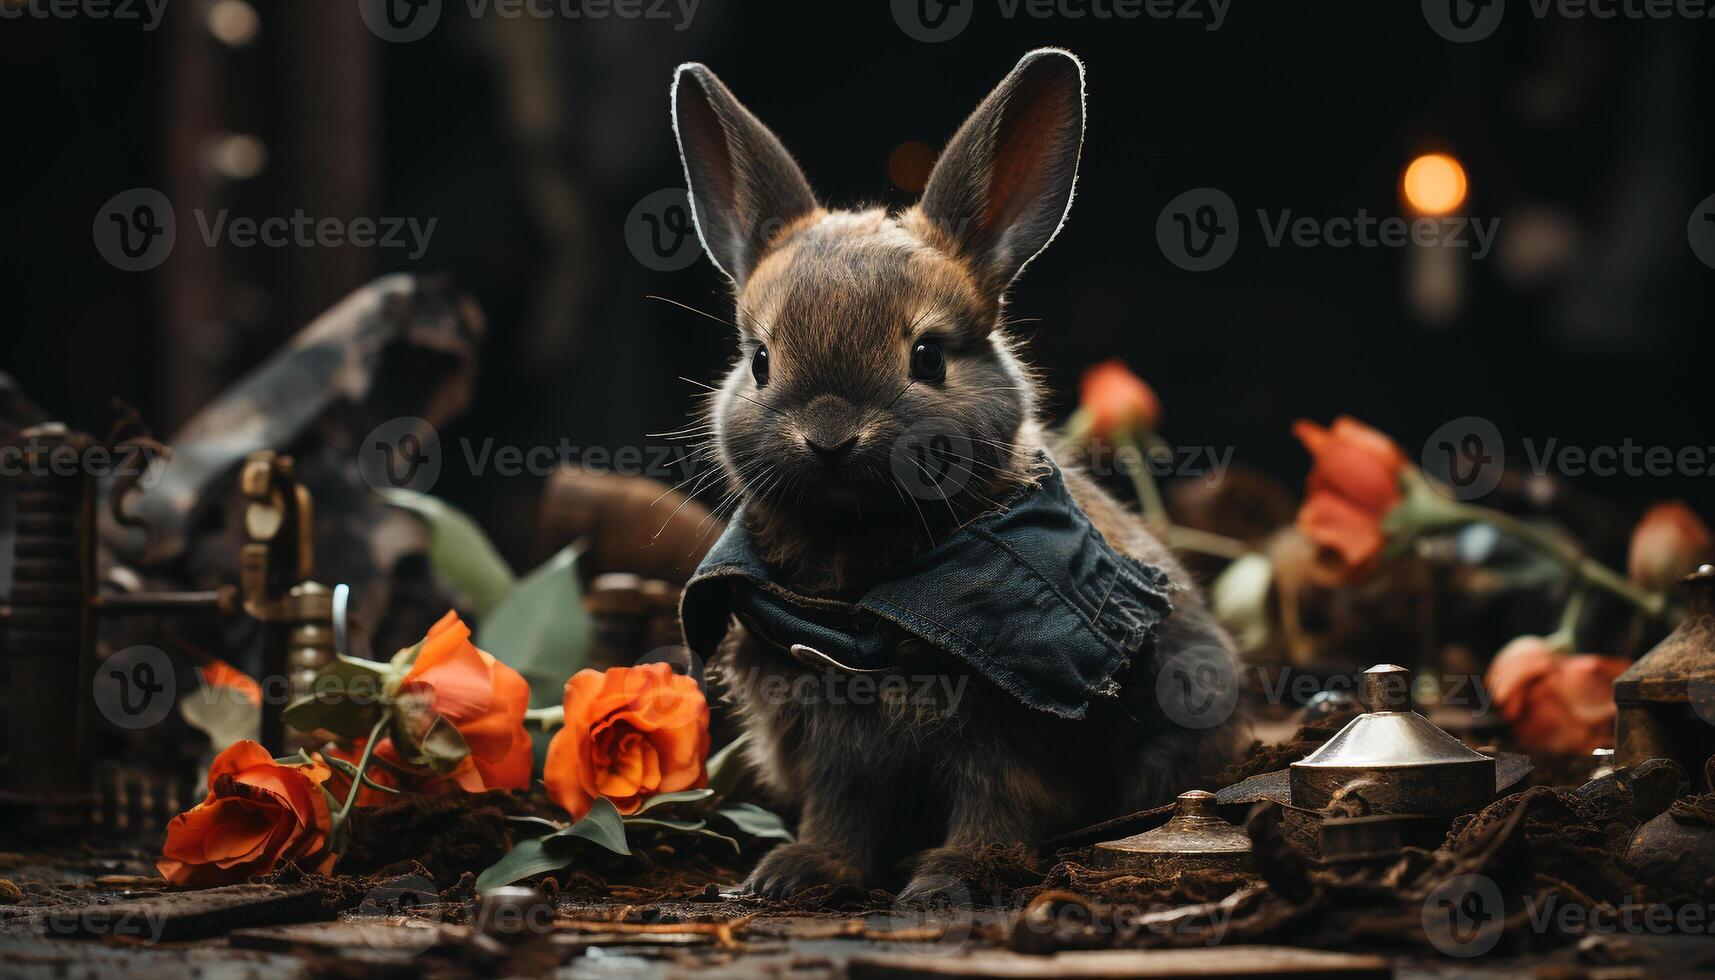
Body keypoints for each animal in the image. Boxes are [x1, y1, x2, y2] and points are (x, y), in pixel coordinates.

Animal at [668, 49, 1248, 899]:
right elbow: (842, 812)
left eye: (928, 357)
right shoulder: (830, 736)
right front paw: (800, 872)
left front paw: (951, 880)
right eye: (761, 360)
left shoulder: (1014, 724)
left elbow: (997, 802)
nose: (829, 434)